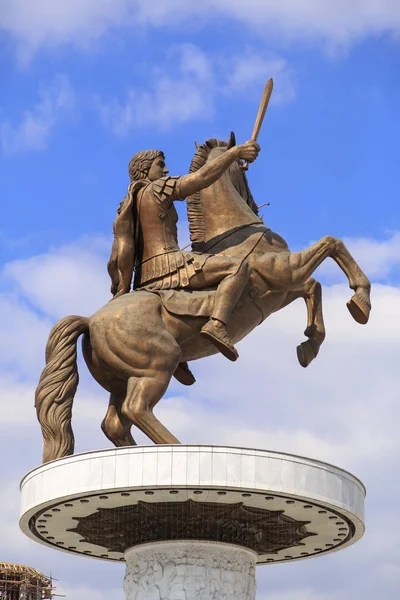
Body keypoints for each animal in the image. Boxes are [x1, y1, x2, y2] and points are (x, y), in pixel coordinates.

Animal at [36, 136, 370, 462]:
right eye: (244, 171)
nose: (256, 205)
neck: (236, 234)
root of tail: (90, 321)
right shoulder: (284, 272)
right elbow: (331, 245)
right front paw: (361, 302)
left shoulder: (281, 290)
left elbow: (314, 287)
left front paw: (309, 345)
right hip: (158, 364)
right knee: (136, 408)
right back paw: (177, 446)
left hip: (120, 378)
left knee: (115, 423)